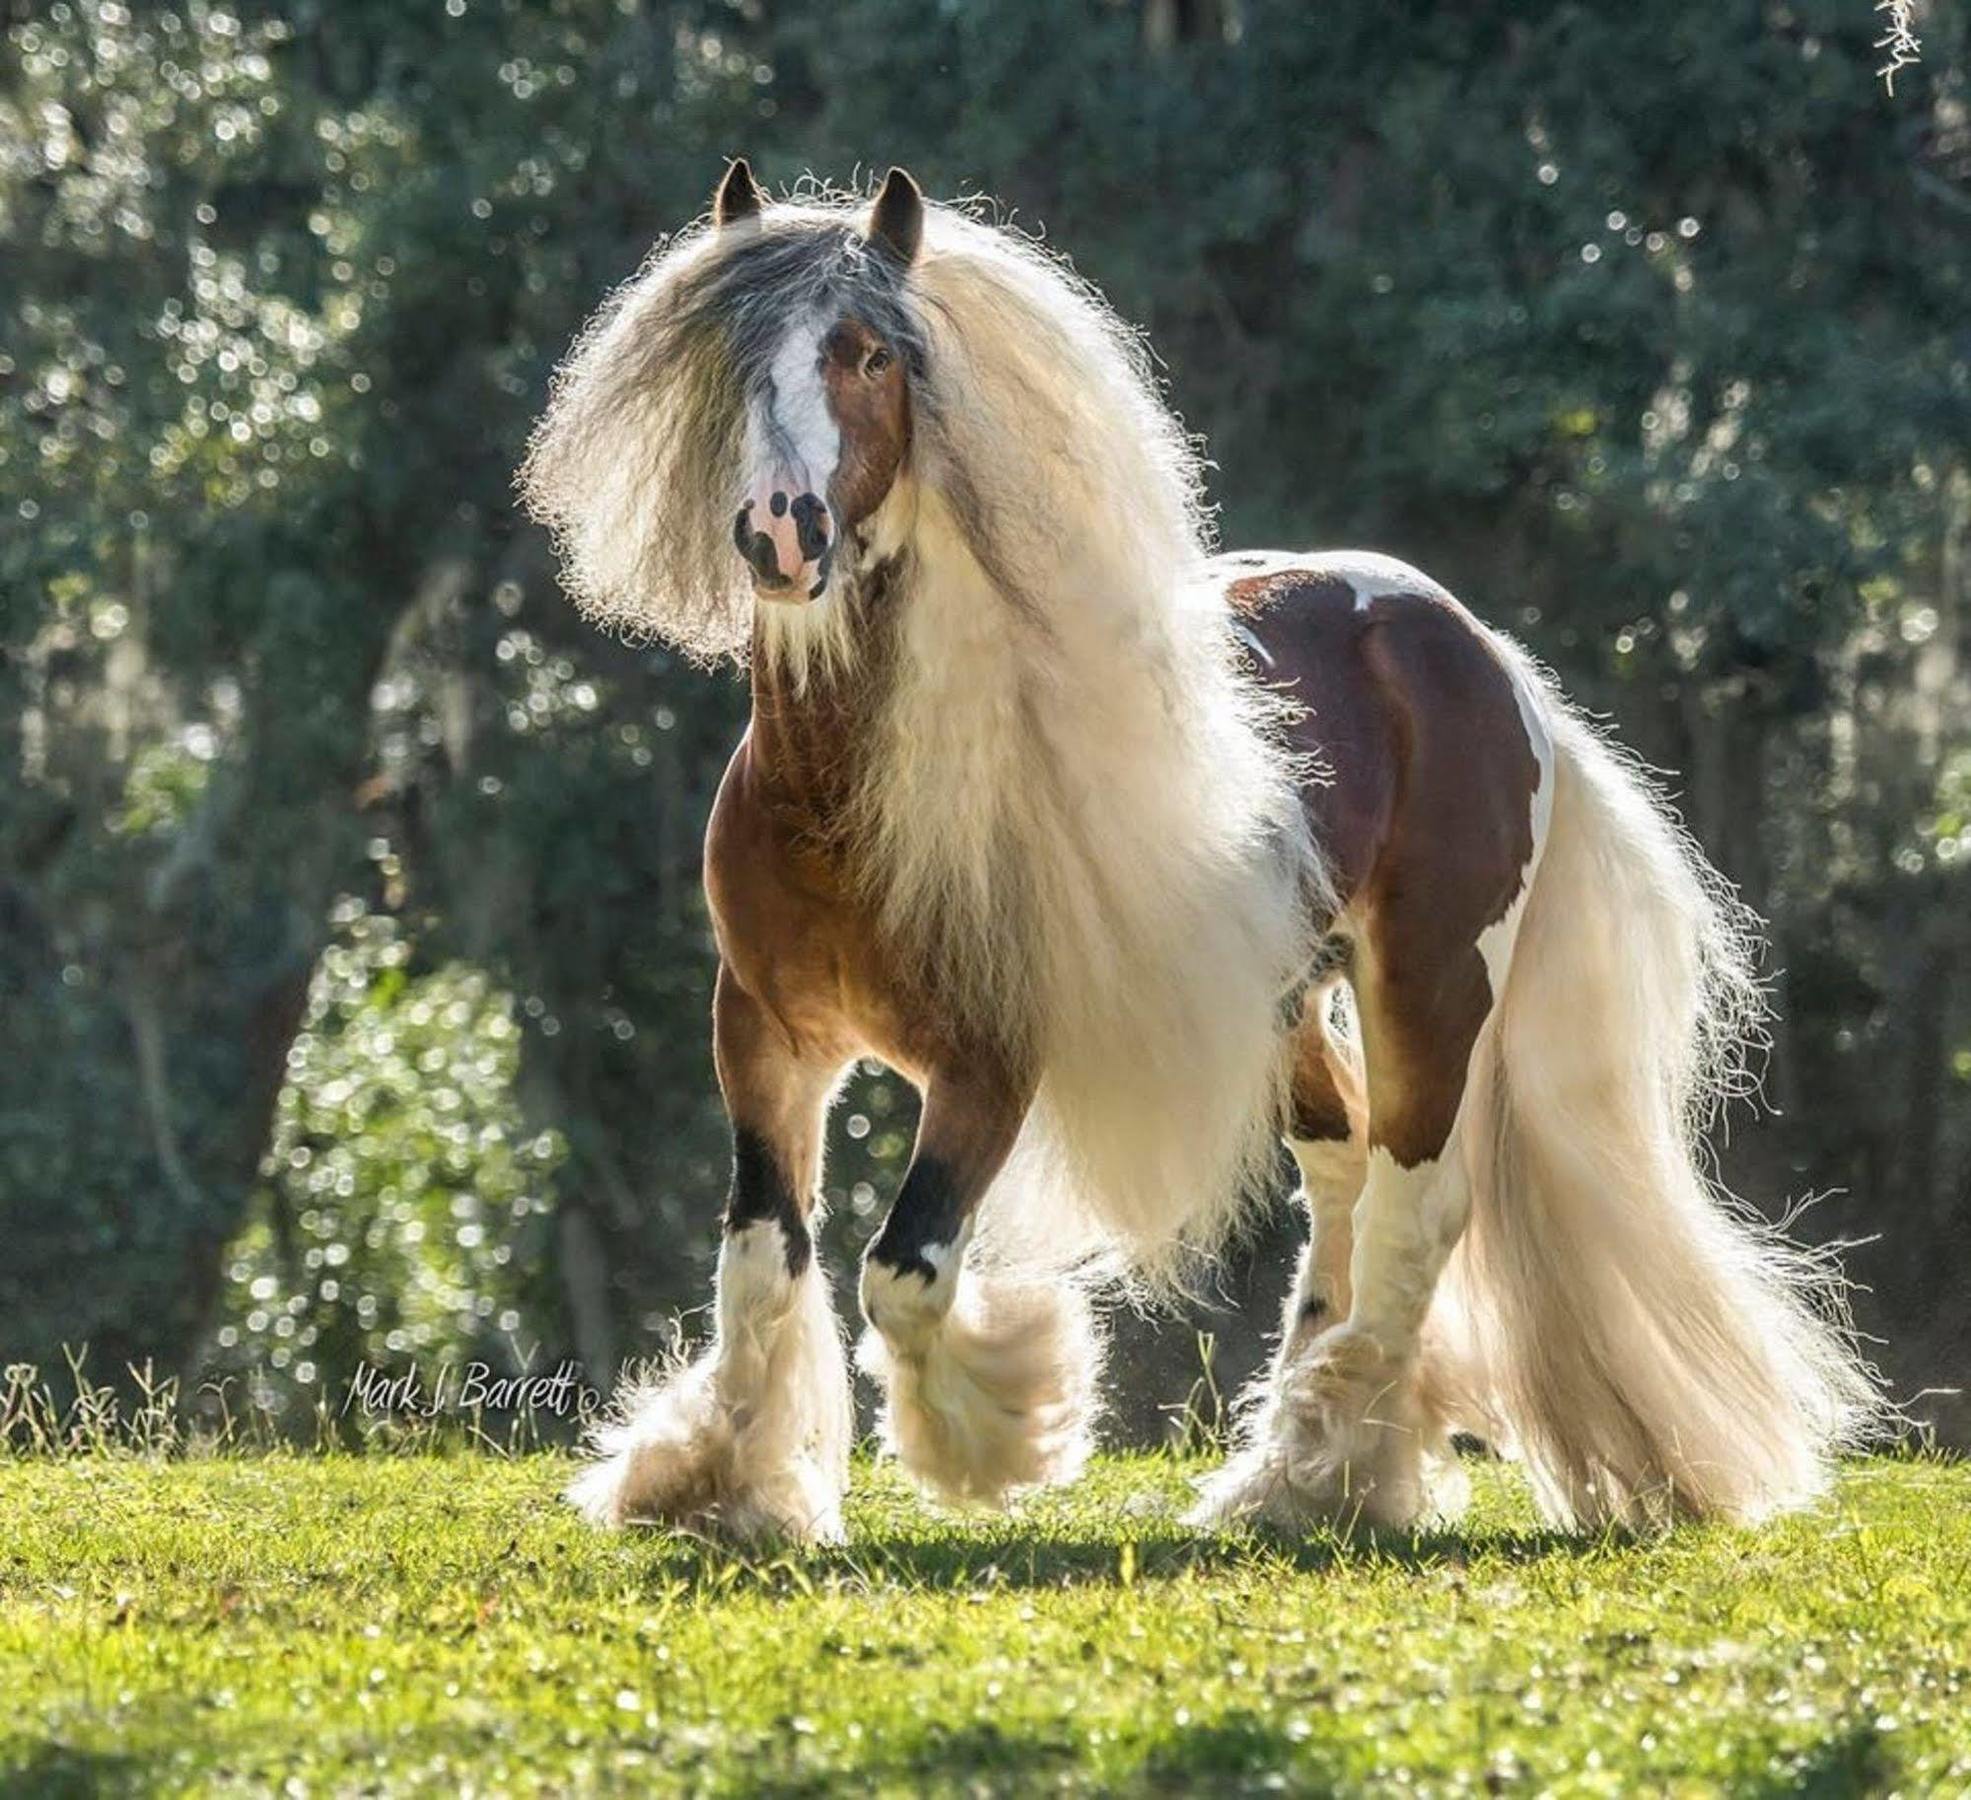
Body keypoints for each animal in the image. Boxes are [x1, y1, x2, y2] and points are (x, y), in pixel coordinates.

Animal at [524, 161, 1876, 1545]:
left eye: (869, 355)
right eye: (739, 358)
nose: (781, 535)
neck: (846, 799)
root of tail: (1485, 655)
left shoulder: (988, 1061)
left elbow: (902, 1271)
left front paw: (1001, 1437)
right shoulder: (765, 1036)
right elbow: (758, 1259)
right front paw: (720, 1487)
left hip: (1432, 982)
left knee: (1417, 1204)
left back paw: (1322, 1479)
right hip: (1286, 1005)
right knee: (1342, 1175)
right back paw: (1291, 1472)